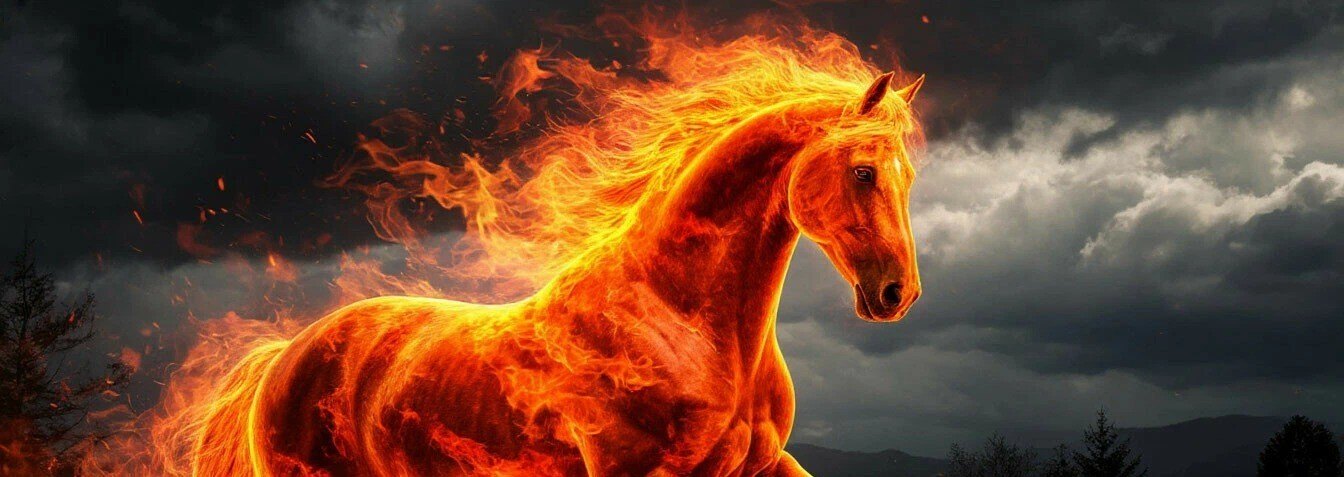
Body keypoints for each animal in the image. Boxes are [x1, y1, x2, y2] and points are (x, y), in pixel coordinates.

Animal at [192, 71, 924, 477]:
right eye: (863, 171)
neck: (683, 317)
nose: (899, 293)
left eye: (909, 175)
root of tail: (283, 356)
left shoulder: (761, 463)